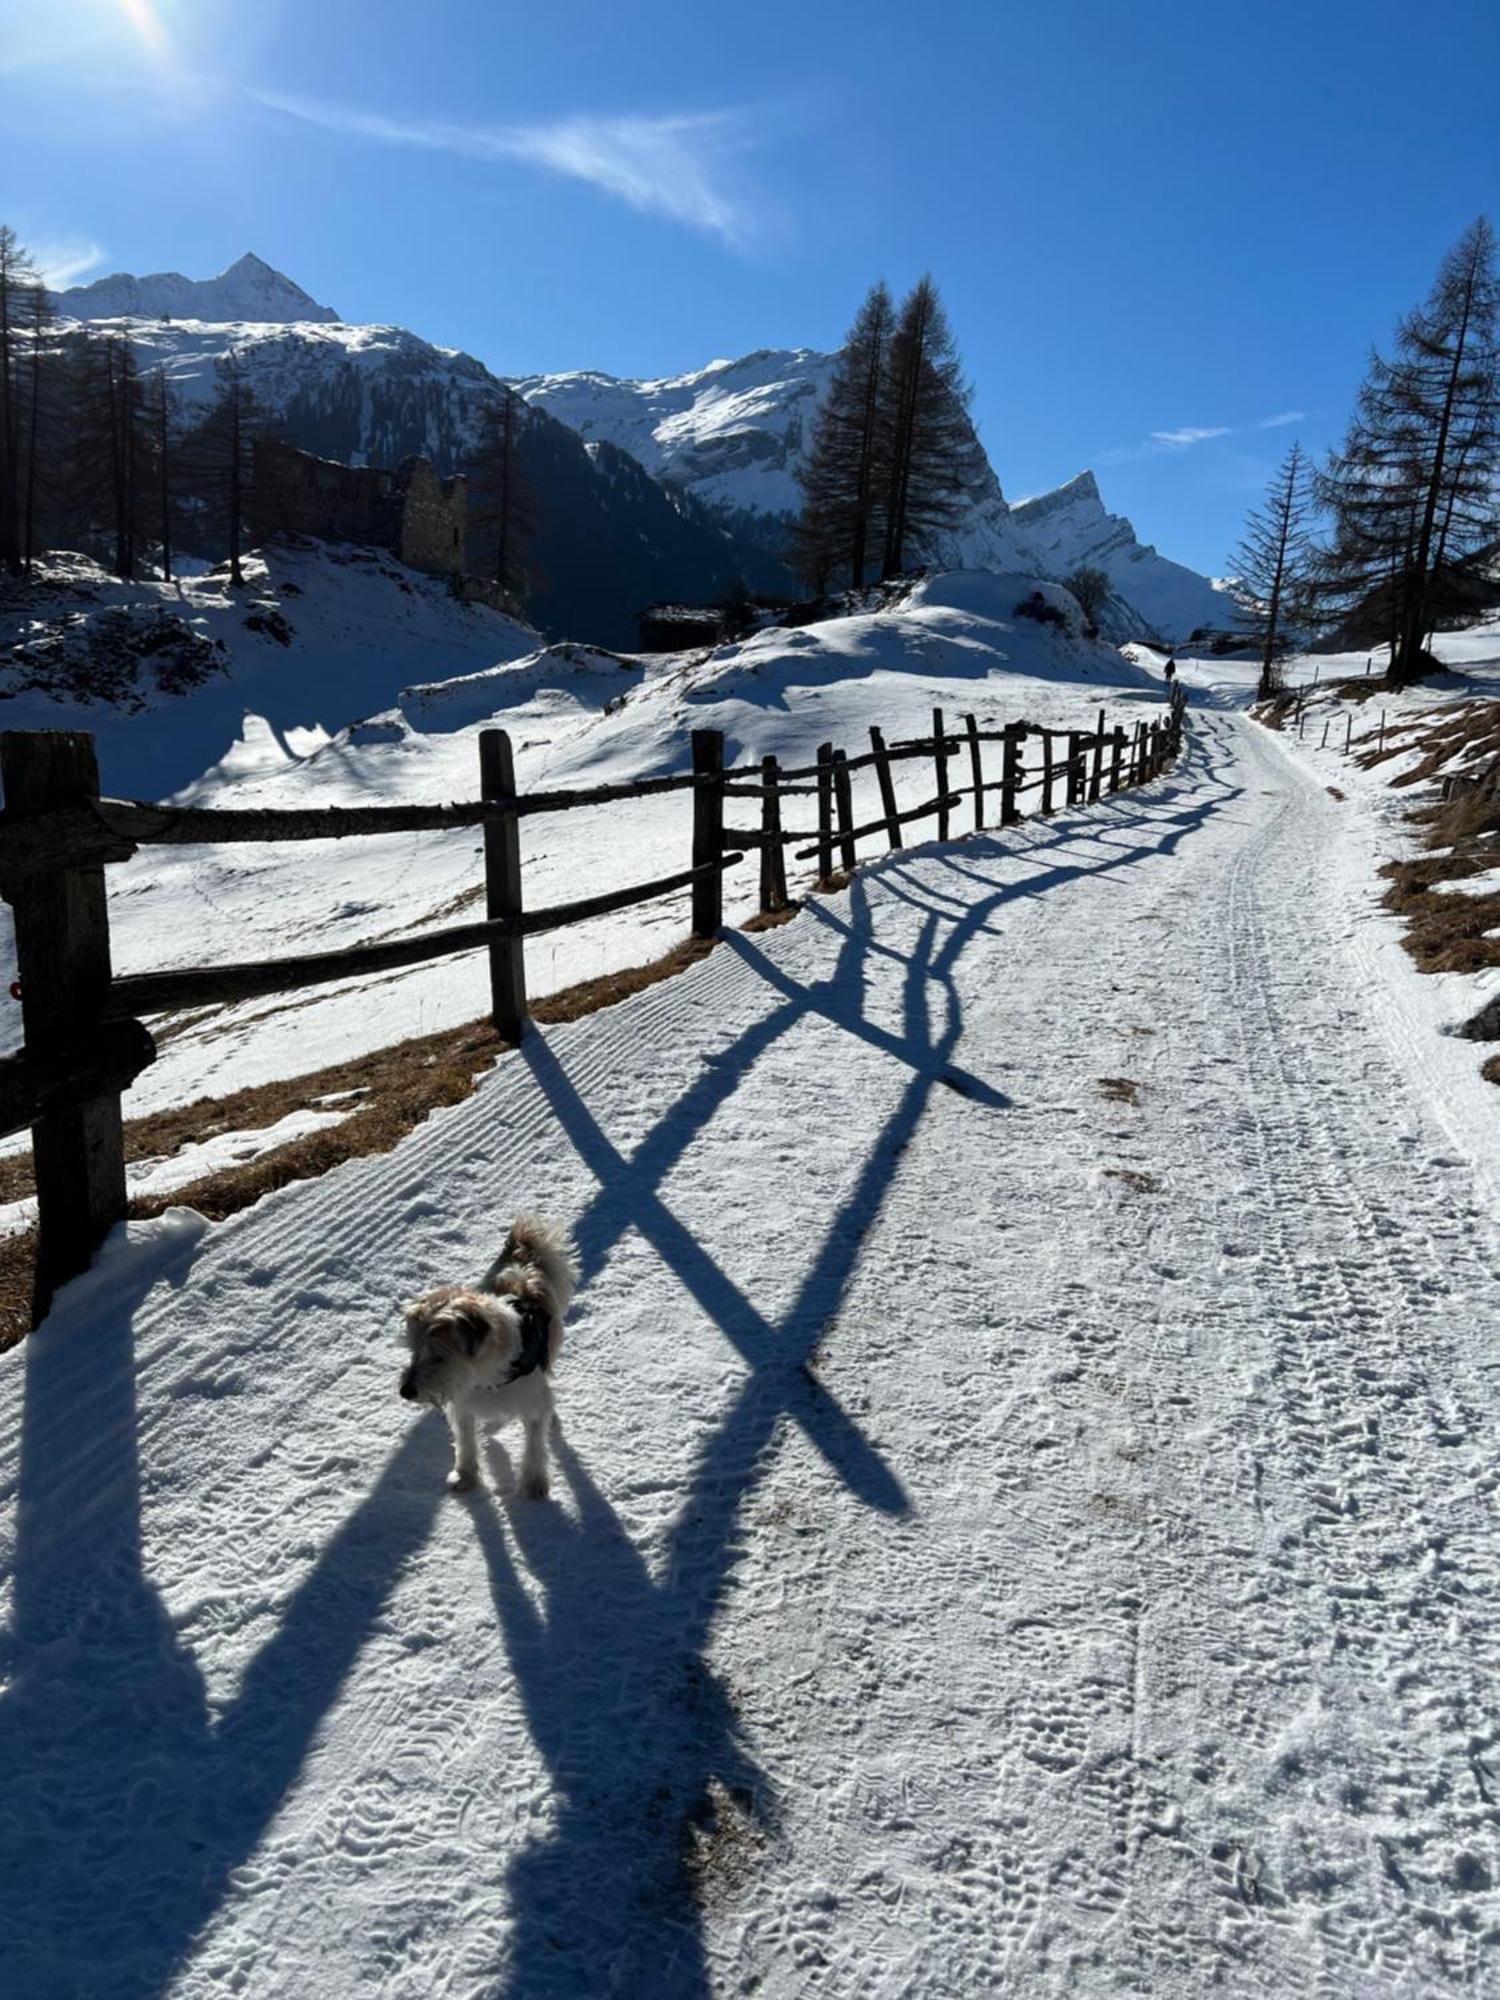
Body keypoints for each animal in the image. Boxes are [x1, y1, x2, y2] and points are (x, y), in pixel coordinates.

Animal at [400, 1208, 580, 1496]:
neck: (485, 1378)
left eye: (439, 1356)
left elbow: (535, 1446)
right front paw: (465, 1476)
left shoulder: (533, 1405)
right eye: (413, 1351)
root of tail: (522, 1251)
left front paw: (534, 1484)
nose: (405, 1391)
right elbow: (466, 1443)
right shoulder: (463, 1407)